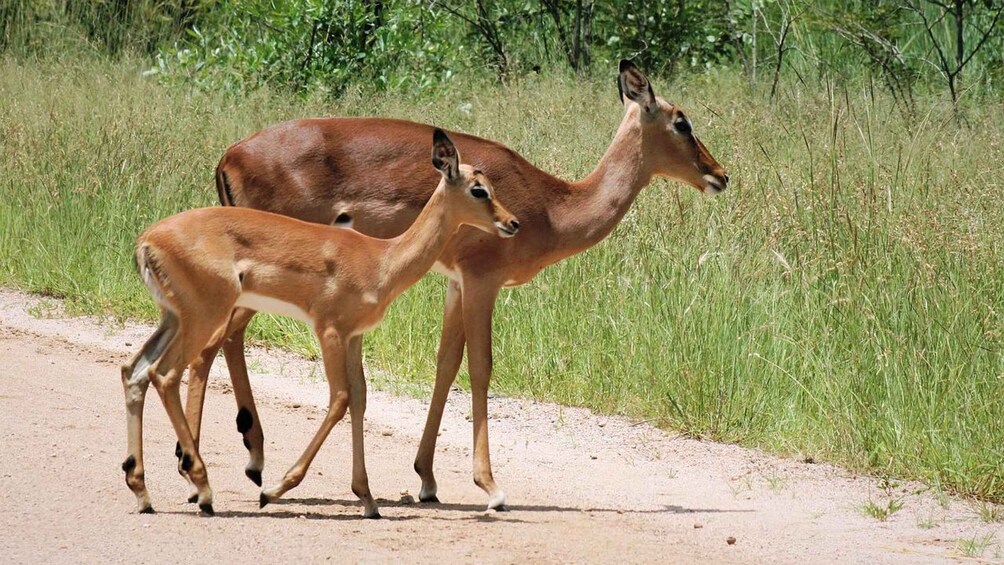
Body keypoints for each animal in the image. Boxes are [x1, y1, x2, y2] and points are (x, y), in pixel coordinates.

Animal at [119, 130, 519, 518]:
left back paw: (143, 493)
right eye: (478, 189)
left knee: (134, 371)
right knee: (165, 374)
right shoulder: (329, 331)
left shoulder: (354, 337)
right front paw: (273, 490)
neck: (381, 259)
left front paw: (368, 499)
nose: (512, 223)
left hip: (173, 319)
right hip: (203, 317)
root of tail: (147, 241)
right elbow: (339, 399)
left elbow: (359, 399)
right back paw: (203, 491)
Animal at [182, 60, 729, 512]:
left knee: (221, 344)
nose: (720, 174)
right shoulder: (483, 281)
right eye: (681, 120)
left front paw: (426, 479)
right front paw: (491, 487)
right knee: (209, 346)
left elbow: (446, 364)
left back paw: (246, 465)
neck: (551, 207)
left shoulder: (455, 285)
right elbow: (482, 369)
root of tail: (228, 156)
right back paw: (207, 476)